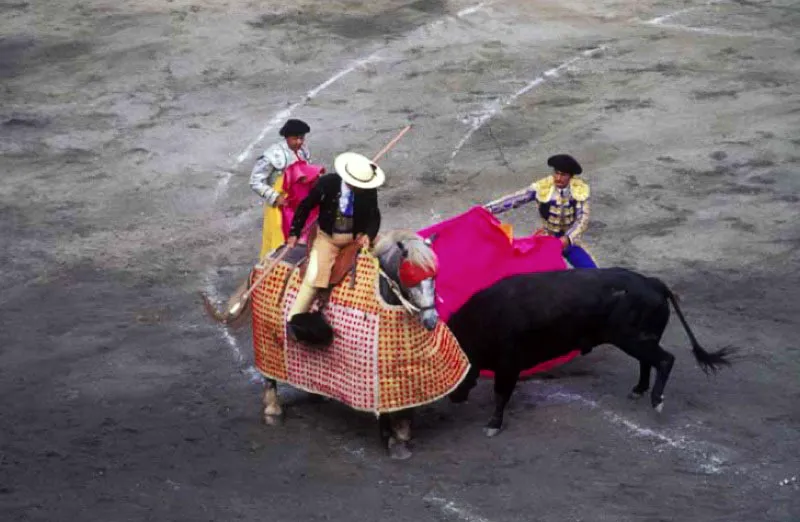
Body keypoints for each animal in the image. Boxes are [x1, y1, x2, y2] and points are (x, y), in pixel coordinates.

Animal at [446, 266, 736, 432]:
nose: (453, 399)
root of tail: (652, 282)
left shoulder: (508, 365)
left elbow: (500, 395)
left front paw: (493, 425)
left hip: (632, 338)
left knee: (664, 360)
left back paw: (656, 401)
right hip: (640, 339)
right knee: (647, 361)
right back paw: (638, 390)